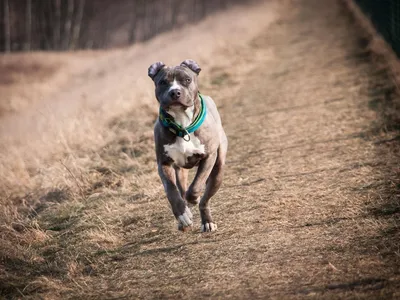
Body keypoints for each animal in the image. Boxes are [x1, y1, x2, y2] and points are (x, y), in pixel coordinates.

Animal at [148, 59, 228, 232]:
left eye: (187, 80)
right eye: (163, 82)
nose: (175, 92)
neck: (182, 124)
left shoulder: (208, 157)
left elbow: (196, 187)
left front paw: (193, 200)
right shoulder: (163, 163)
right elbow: (171, 191)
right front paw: (182, 215)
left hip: (218, 169)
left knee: (204, 199)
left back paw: (206, 221)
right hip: (180, 171)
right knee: (182, 188)